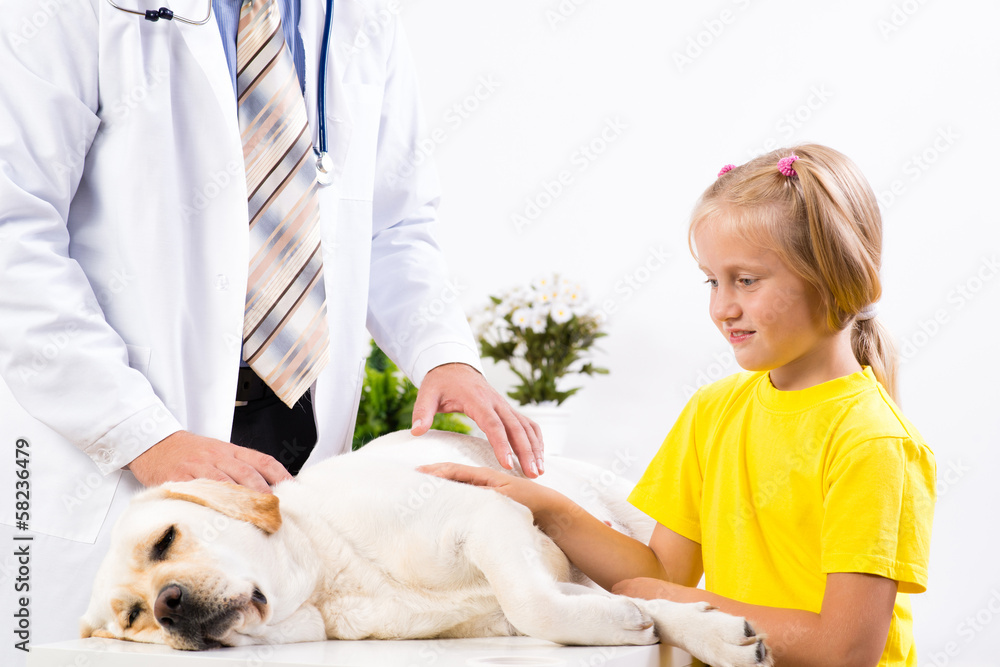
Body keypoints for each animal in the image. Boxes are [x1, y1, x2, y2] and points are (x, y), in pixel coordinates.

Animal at [82, 430, 768, 664]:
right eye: (135, 617)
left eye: (165, 541)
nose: (168, 604)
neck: (332, 578)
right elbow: (618, 604)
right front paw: (684, 628)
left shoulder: (488, 512)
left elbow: (532, 603)